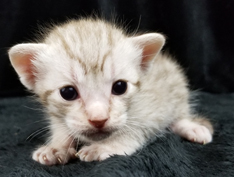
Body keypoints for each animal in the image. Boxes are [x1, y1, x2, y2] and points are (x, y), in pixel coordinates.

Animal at [7, 17, 212, 165]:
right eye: (68, 92)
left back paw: (192, 127)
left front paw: (104, 147)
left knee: (179, 114)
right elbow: (63, 127)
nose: (99, 119)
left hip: (176, 86)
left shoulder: (151, 109)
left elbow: (134, 130)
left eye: (120, 87)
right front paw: (57, 146)